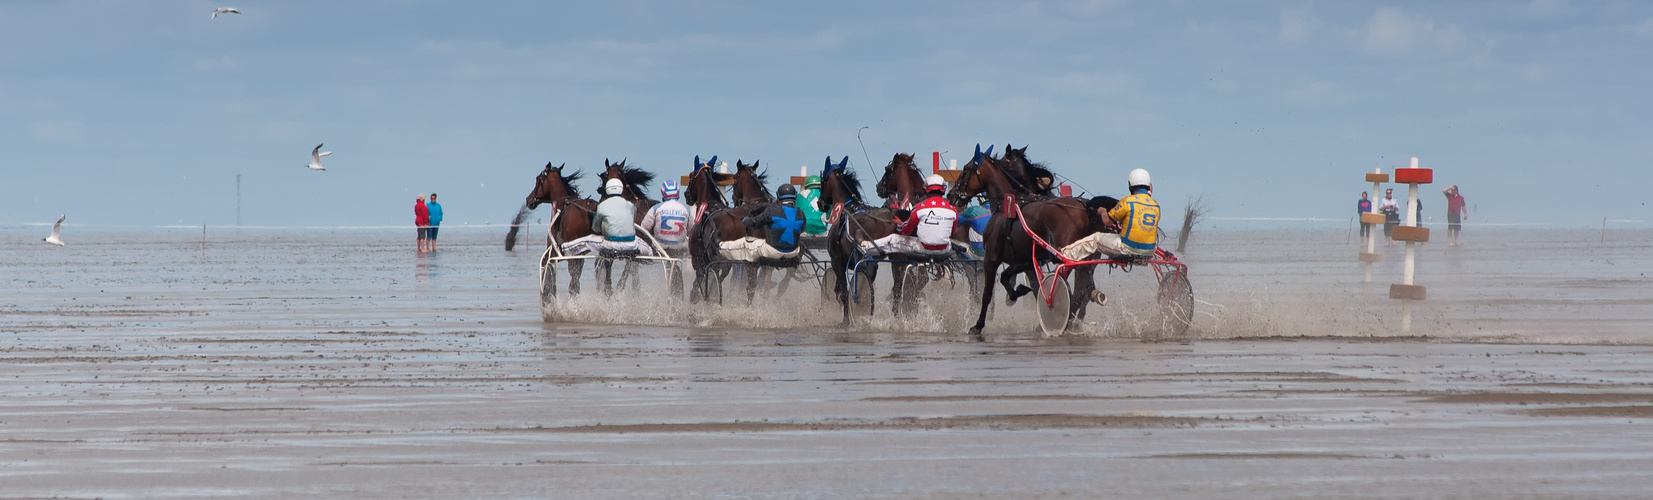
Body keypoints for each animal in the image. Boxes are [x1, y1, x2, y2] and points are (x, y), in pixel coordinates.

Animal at [952, 146, 1104, 337]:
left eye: (966, 169)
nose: (951, 195)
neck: (1008, 204)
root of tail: (1084, 208)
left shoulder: (991, 259)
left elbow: (986, 294)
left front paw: (978, 325)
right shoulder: (1027, 259)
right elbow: (1008, 277)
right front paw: (1016, 293)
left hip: (1066, 254)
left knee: (1075, 286)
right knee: (1082, 288)